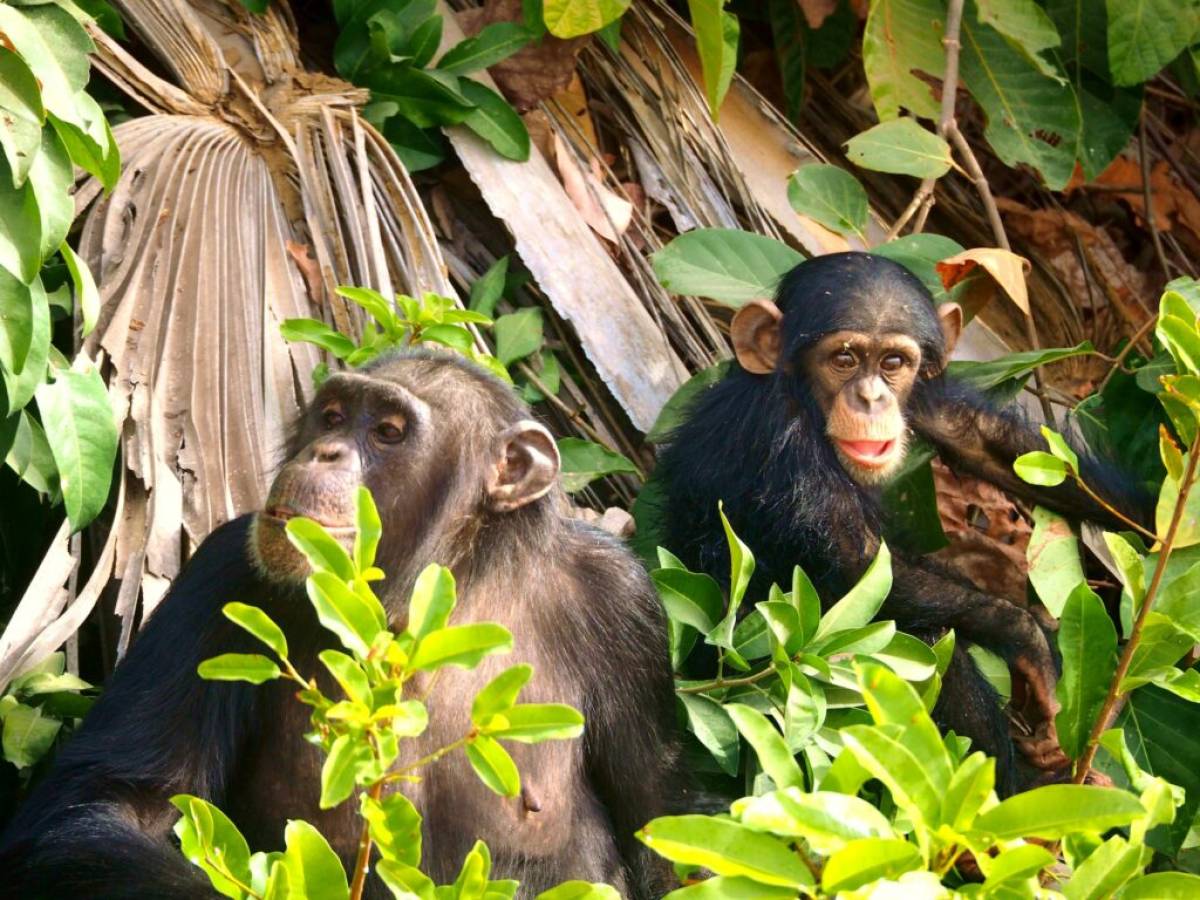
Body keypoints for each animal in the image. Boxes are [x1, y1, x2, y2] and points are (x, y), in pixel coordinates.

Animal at [0, 350, 676, 900]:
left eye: (388, 431)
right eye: (331, 416)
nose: (323, 451)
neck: (441, 591)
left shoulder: (623, 602)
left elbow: (661, 828)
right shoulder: (219, 577)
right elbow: (110, 804)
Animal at [662, 254, 1147, 796]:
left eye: (892, 363)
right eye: (844, 359)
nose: (871, 398)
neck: (803, 401)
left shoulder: (925, 399)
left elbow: (983, 441)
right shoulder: (783, 444)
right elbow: (863, 569)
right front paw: (1028, 640)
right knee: (930, 640)